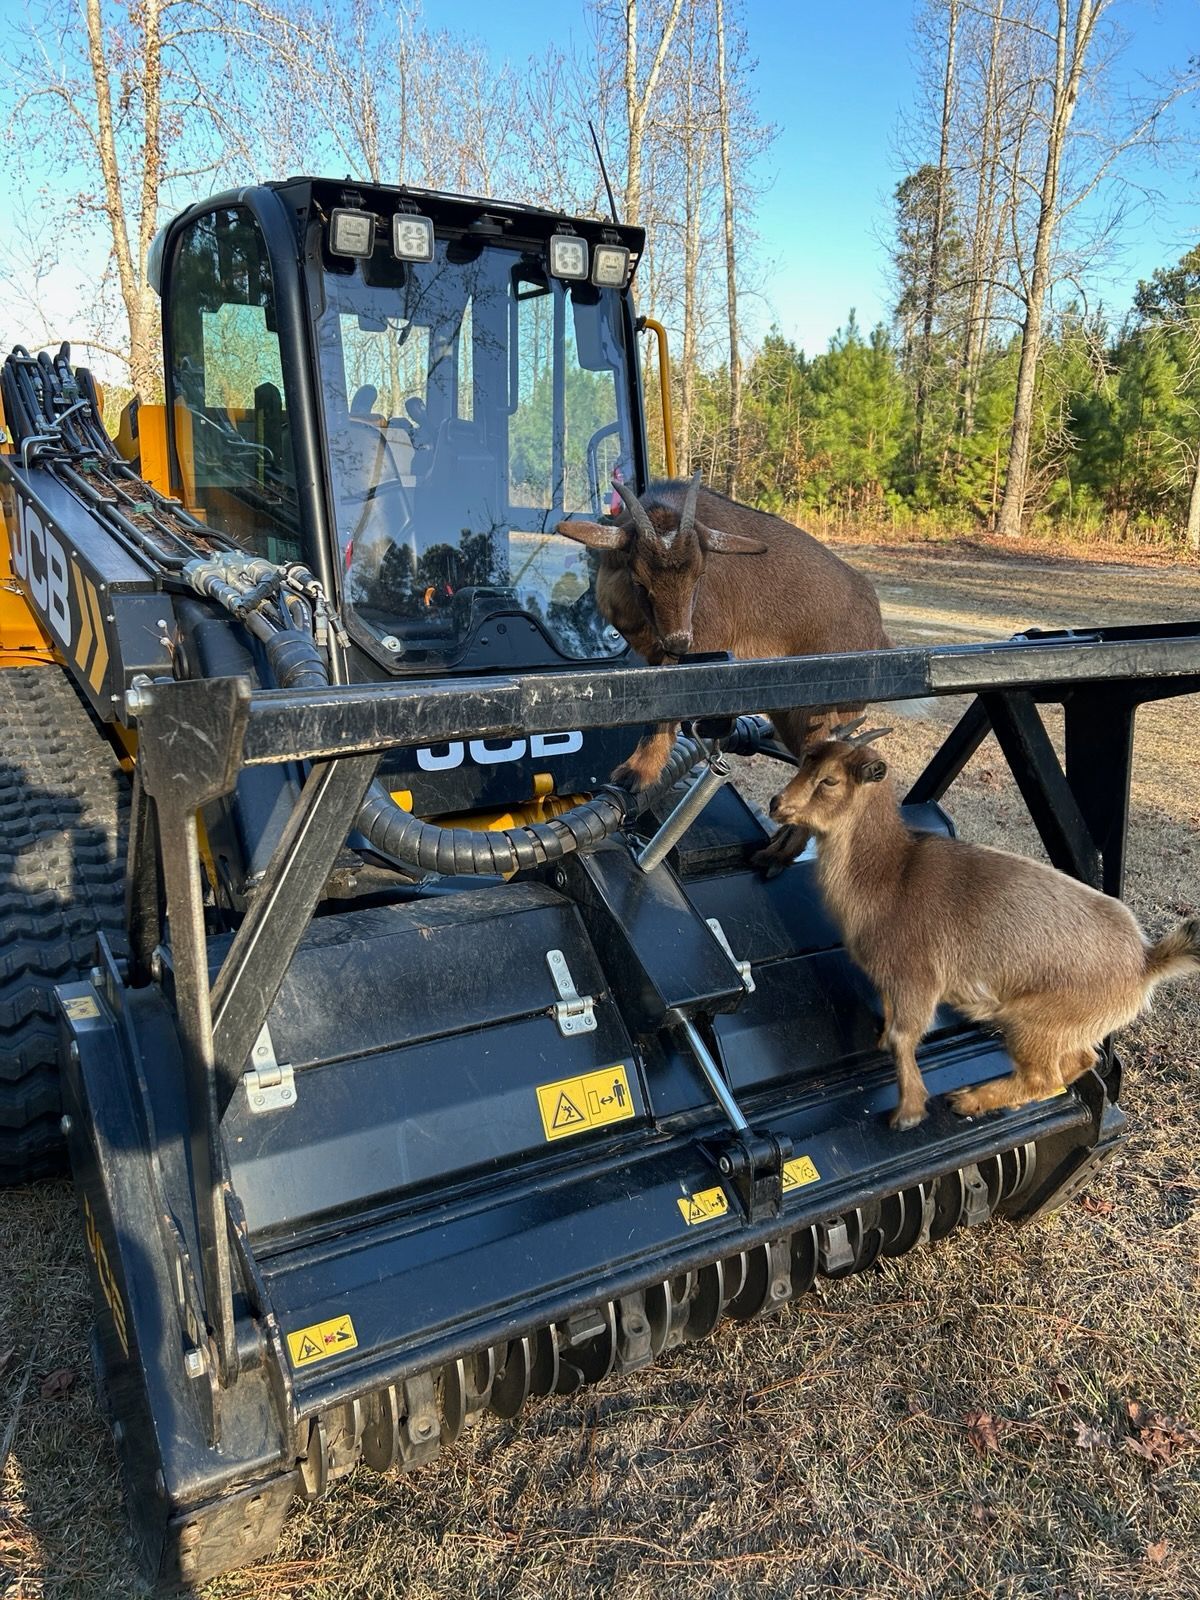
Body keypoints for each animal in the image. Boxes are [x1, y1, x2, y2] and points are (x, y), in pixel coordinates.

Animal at [556, 472, 891, 871]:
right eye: (640, 580)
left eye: (700, 574)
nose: (679, 641)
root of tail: (878, 630)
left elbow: (662, 714)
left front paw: (634, 775)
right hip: (789, 712)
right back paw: (774, 852)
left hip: (826, 711)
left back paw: (775, 856)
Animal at [769, 729, 1200, 1129]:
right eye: (803, 762)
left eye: (829, 780)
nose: (776, 805)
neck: (890, 874)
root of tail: (1146, 961)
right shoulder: (890, 980)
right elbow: (889, 1025)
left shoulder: (917, 979)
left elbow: (903, 1037)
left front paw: (908, 1112)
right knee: (1080, 1059)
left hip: (1036, 1024)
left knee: (1043, 1076)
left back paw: (969, 1100)